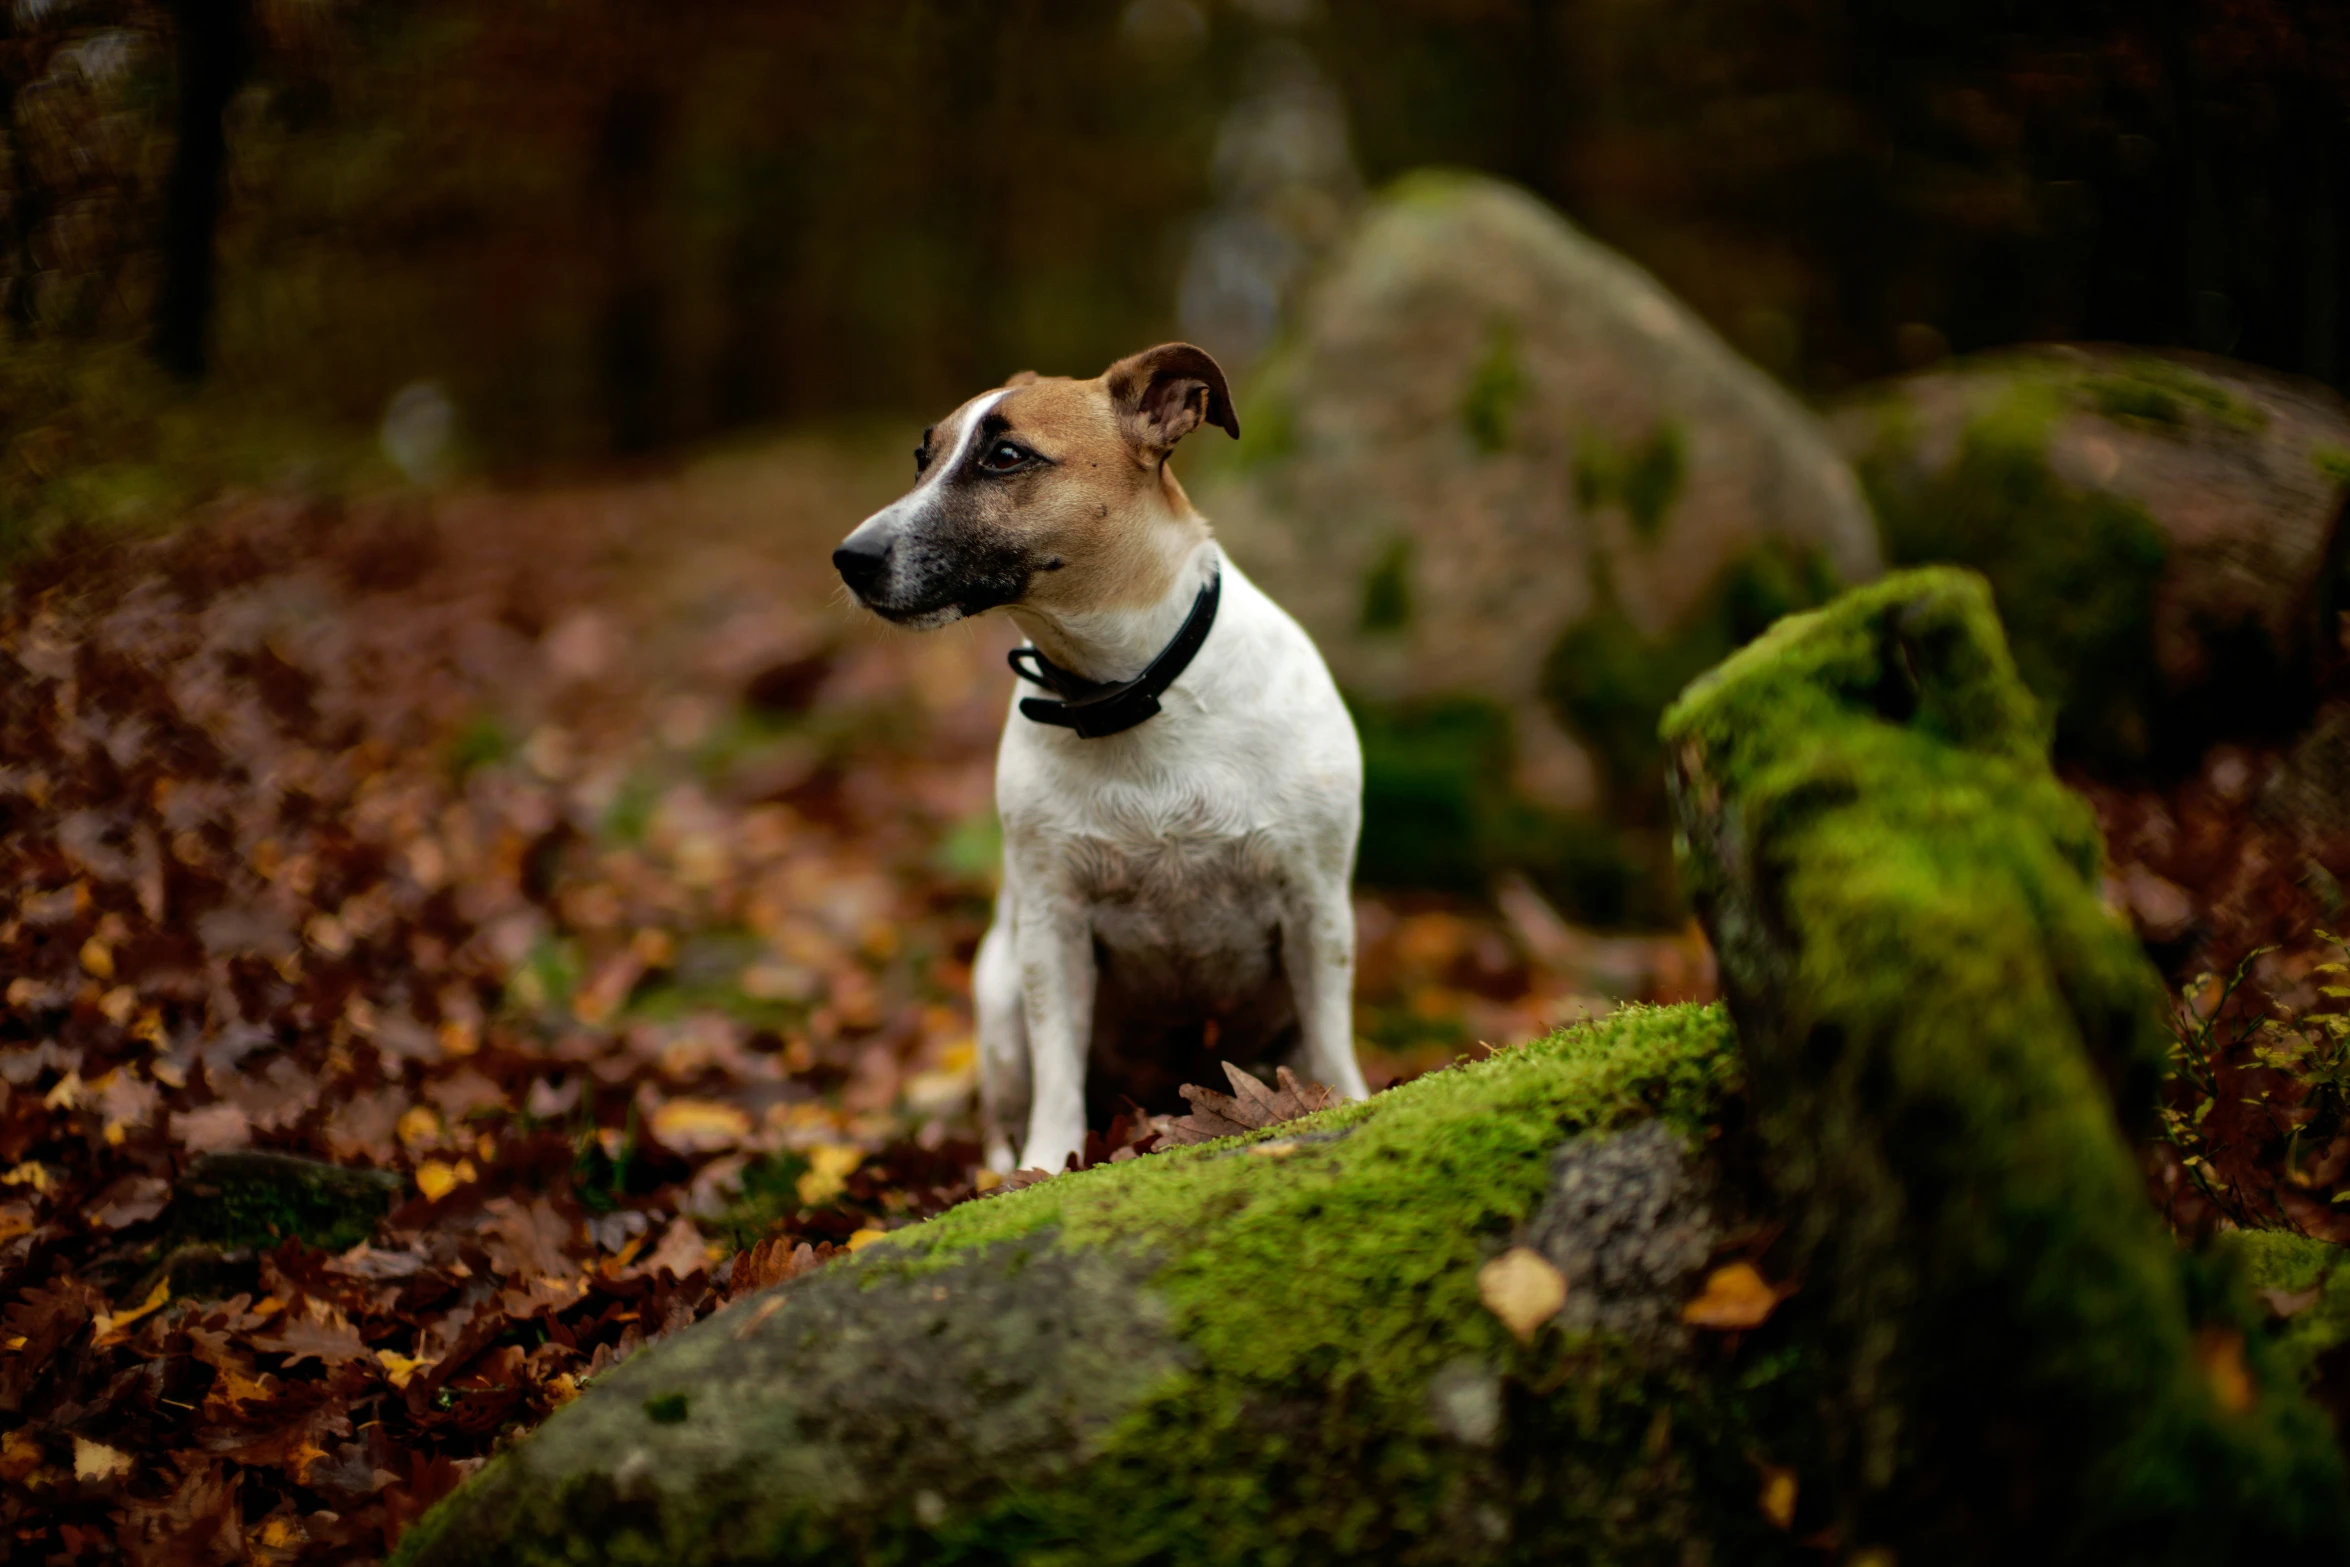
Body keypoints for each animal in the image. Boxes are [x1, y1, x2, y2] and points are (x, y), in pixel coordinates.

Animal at [831, 345, 1372, 1174]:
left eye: (1006, 456)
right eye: (923, 458)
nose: (849, 557)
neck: (1134, 688)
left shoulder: (1315, 904)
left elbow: (1330, 1035)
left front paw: (1346, 1101)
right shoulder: (1053, 926)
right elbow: (1058, 1067)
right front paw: (1048, 1163)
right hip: (997, 998)